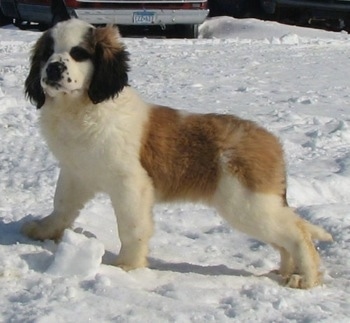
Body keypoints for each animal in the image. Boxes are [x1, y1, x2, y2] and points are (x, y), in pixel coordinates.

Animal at [23, 19, 332, 290]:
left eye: (79, 53)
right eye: (47, 54)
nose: (53, 68)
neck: (81, 108)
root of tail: (271, 141)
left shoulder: (130, 184)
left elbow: (131, 226)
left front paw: (127, 266)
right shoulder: (76, 172)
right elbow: (62, 205)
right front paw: (45, 230)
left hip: (247, 203)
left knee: (298, 232)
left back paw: (306, 278)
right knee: (287, 237)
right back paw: (286, 270)